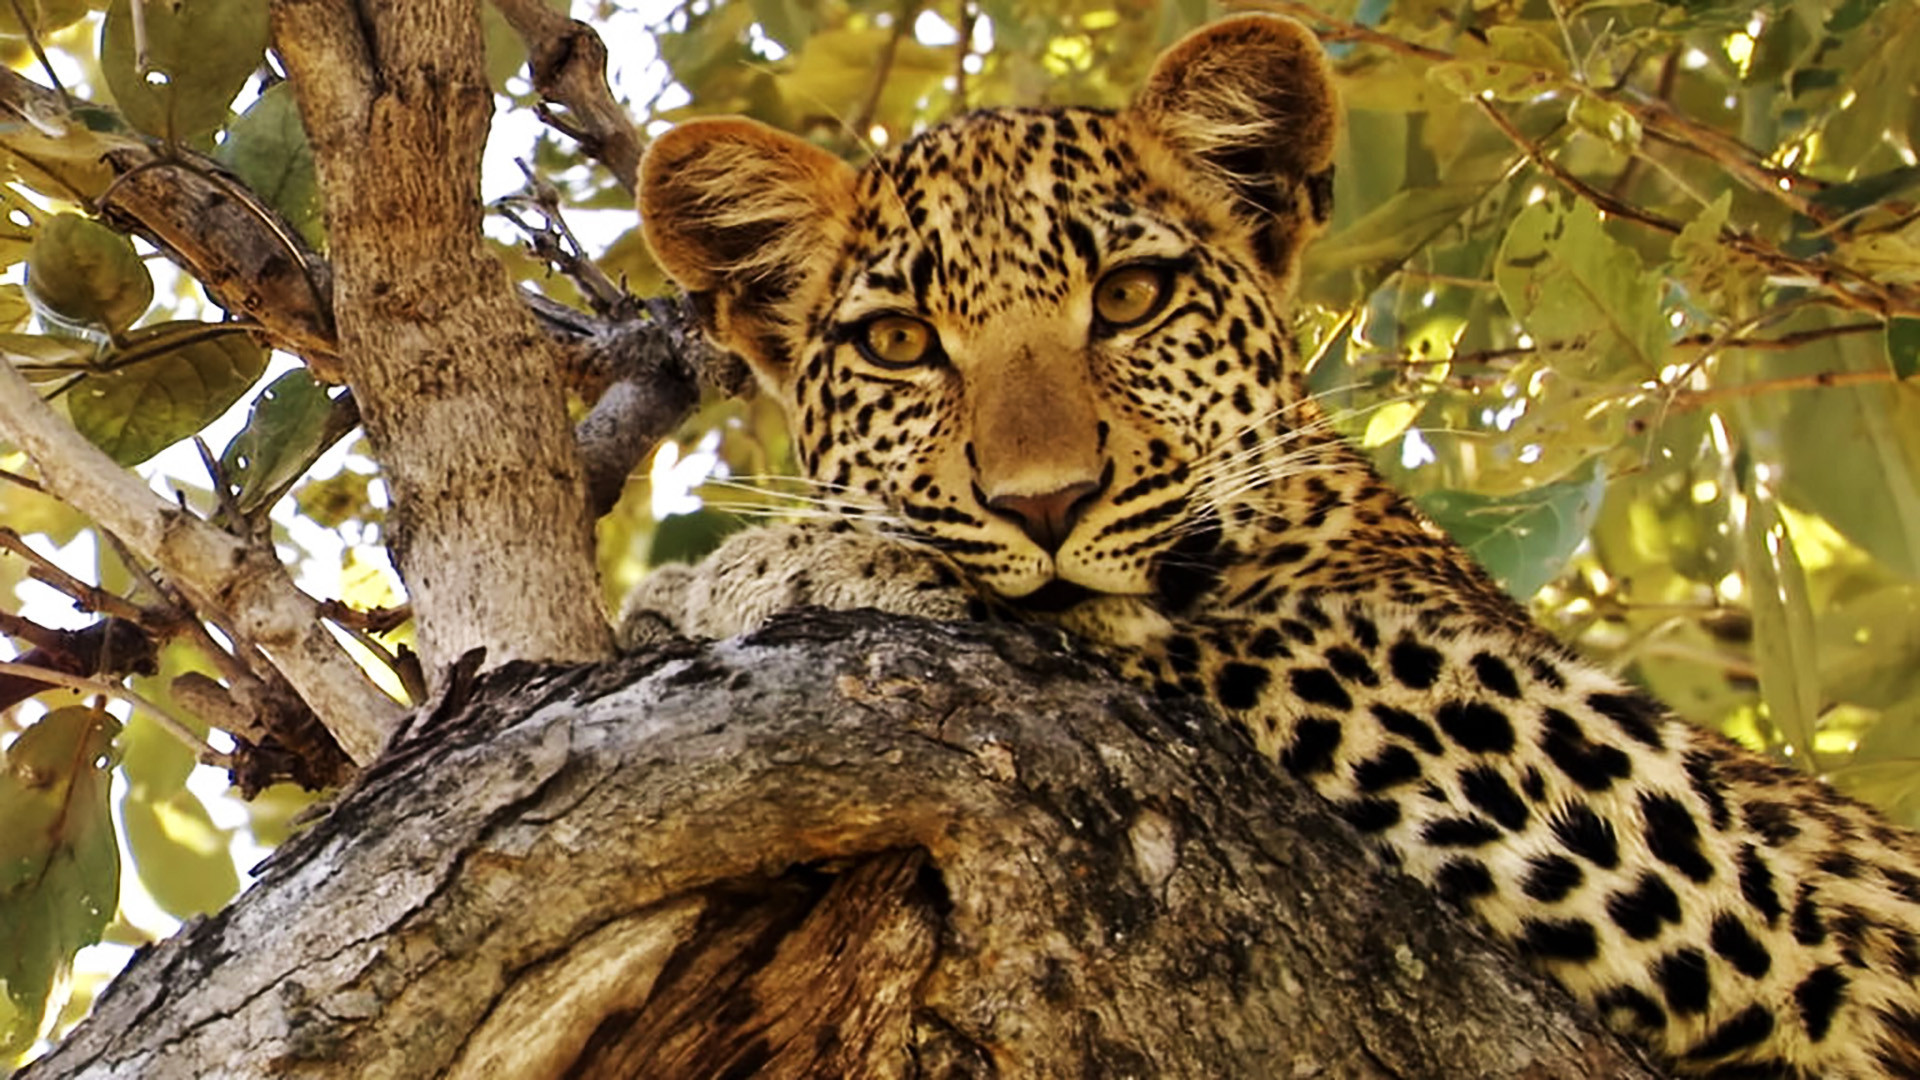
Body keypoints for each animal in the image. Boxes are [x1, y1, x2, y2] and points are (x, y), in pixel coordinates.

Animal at [627, 13, 1920, 1077]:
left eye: (1131, 297)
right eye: (898, 342)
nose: (1047, 504)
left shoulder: (1759, 888)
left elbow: (1196, 629)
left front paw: (788, 563)